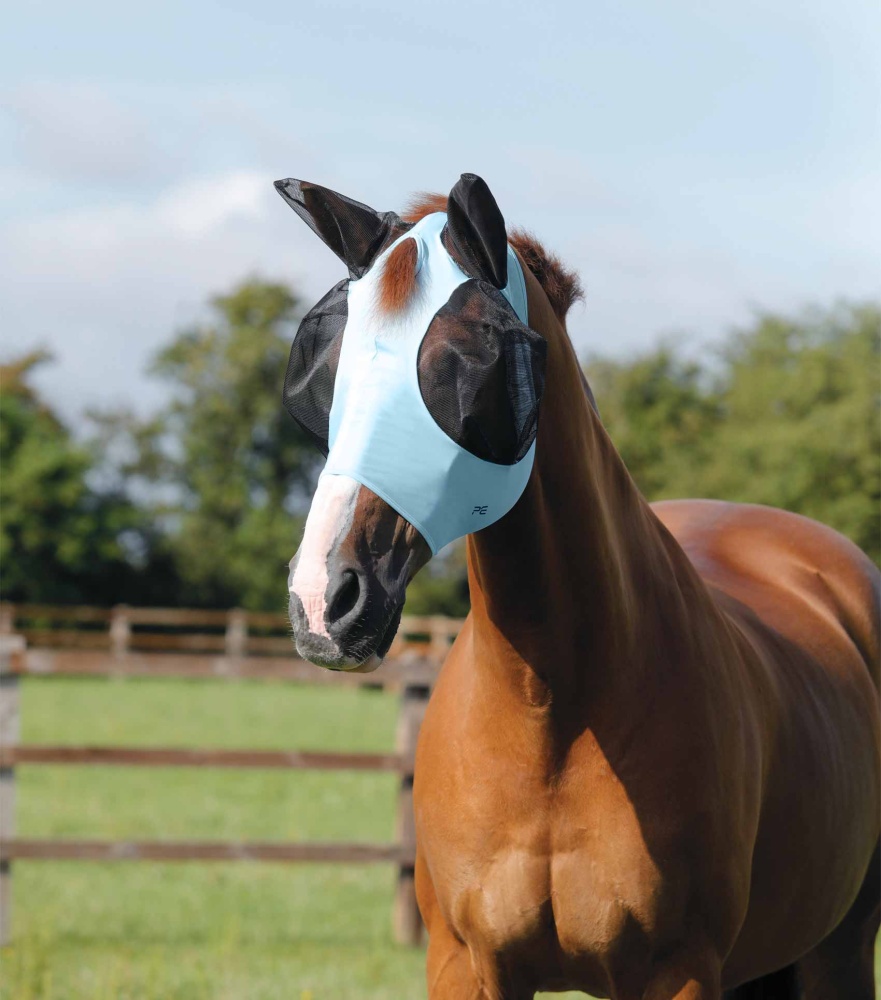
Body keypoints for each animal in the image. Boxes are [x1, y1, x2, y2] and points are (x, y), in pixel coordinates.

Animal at [277, 173, 880, 999]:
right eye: (323, 367)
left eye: (466, 360)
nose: (323, 601)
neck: (549, 717)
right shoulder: (465, 965)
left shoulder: (677, 972)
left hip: (838, 951)